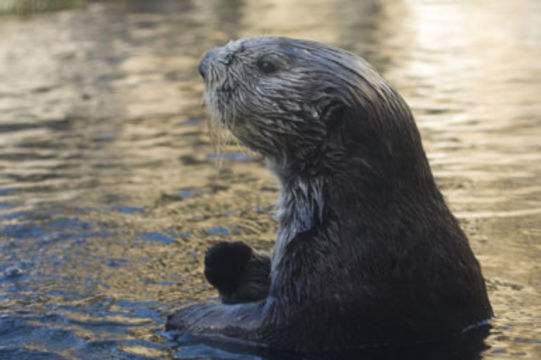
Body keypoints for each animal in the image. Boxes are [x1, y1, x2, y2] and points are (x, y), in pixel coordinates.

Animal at [166, 36, 494, 352]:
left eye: (267, 65)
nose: (205, 61)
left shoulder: (334, 290)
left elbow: (268, 328)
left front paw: (184, 315)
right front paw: (225, 256)